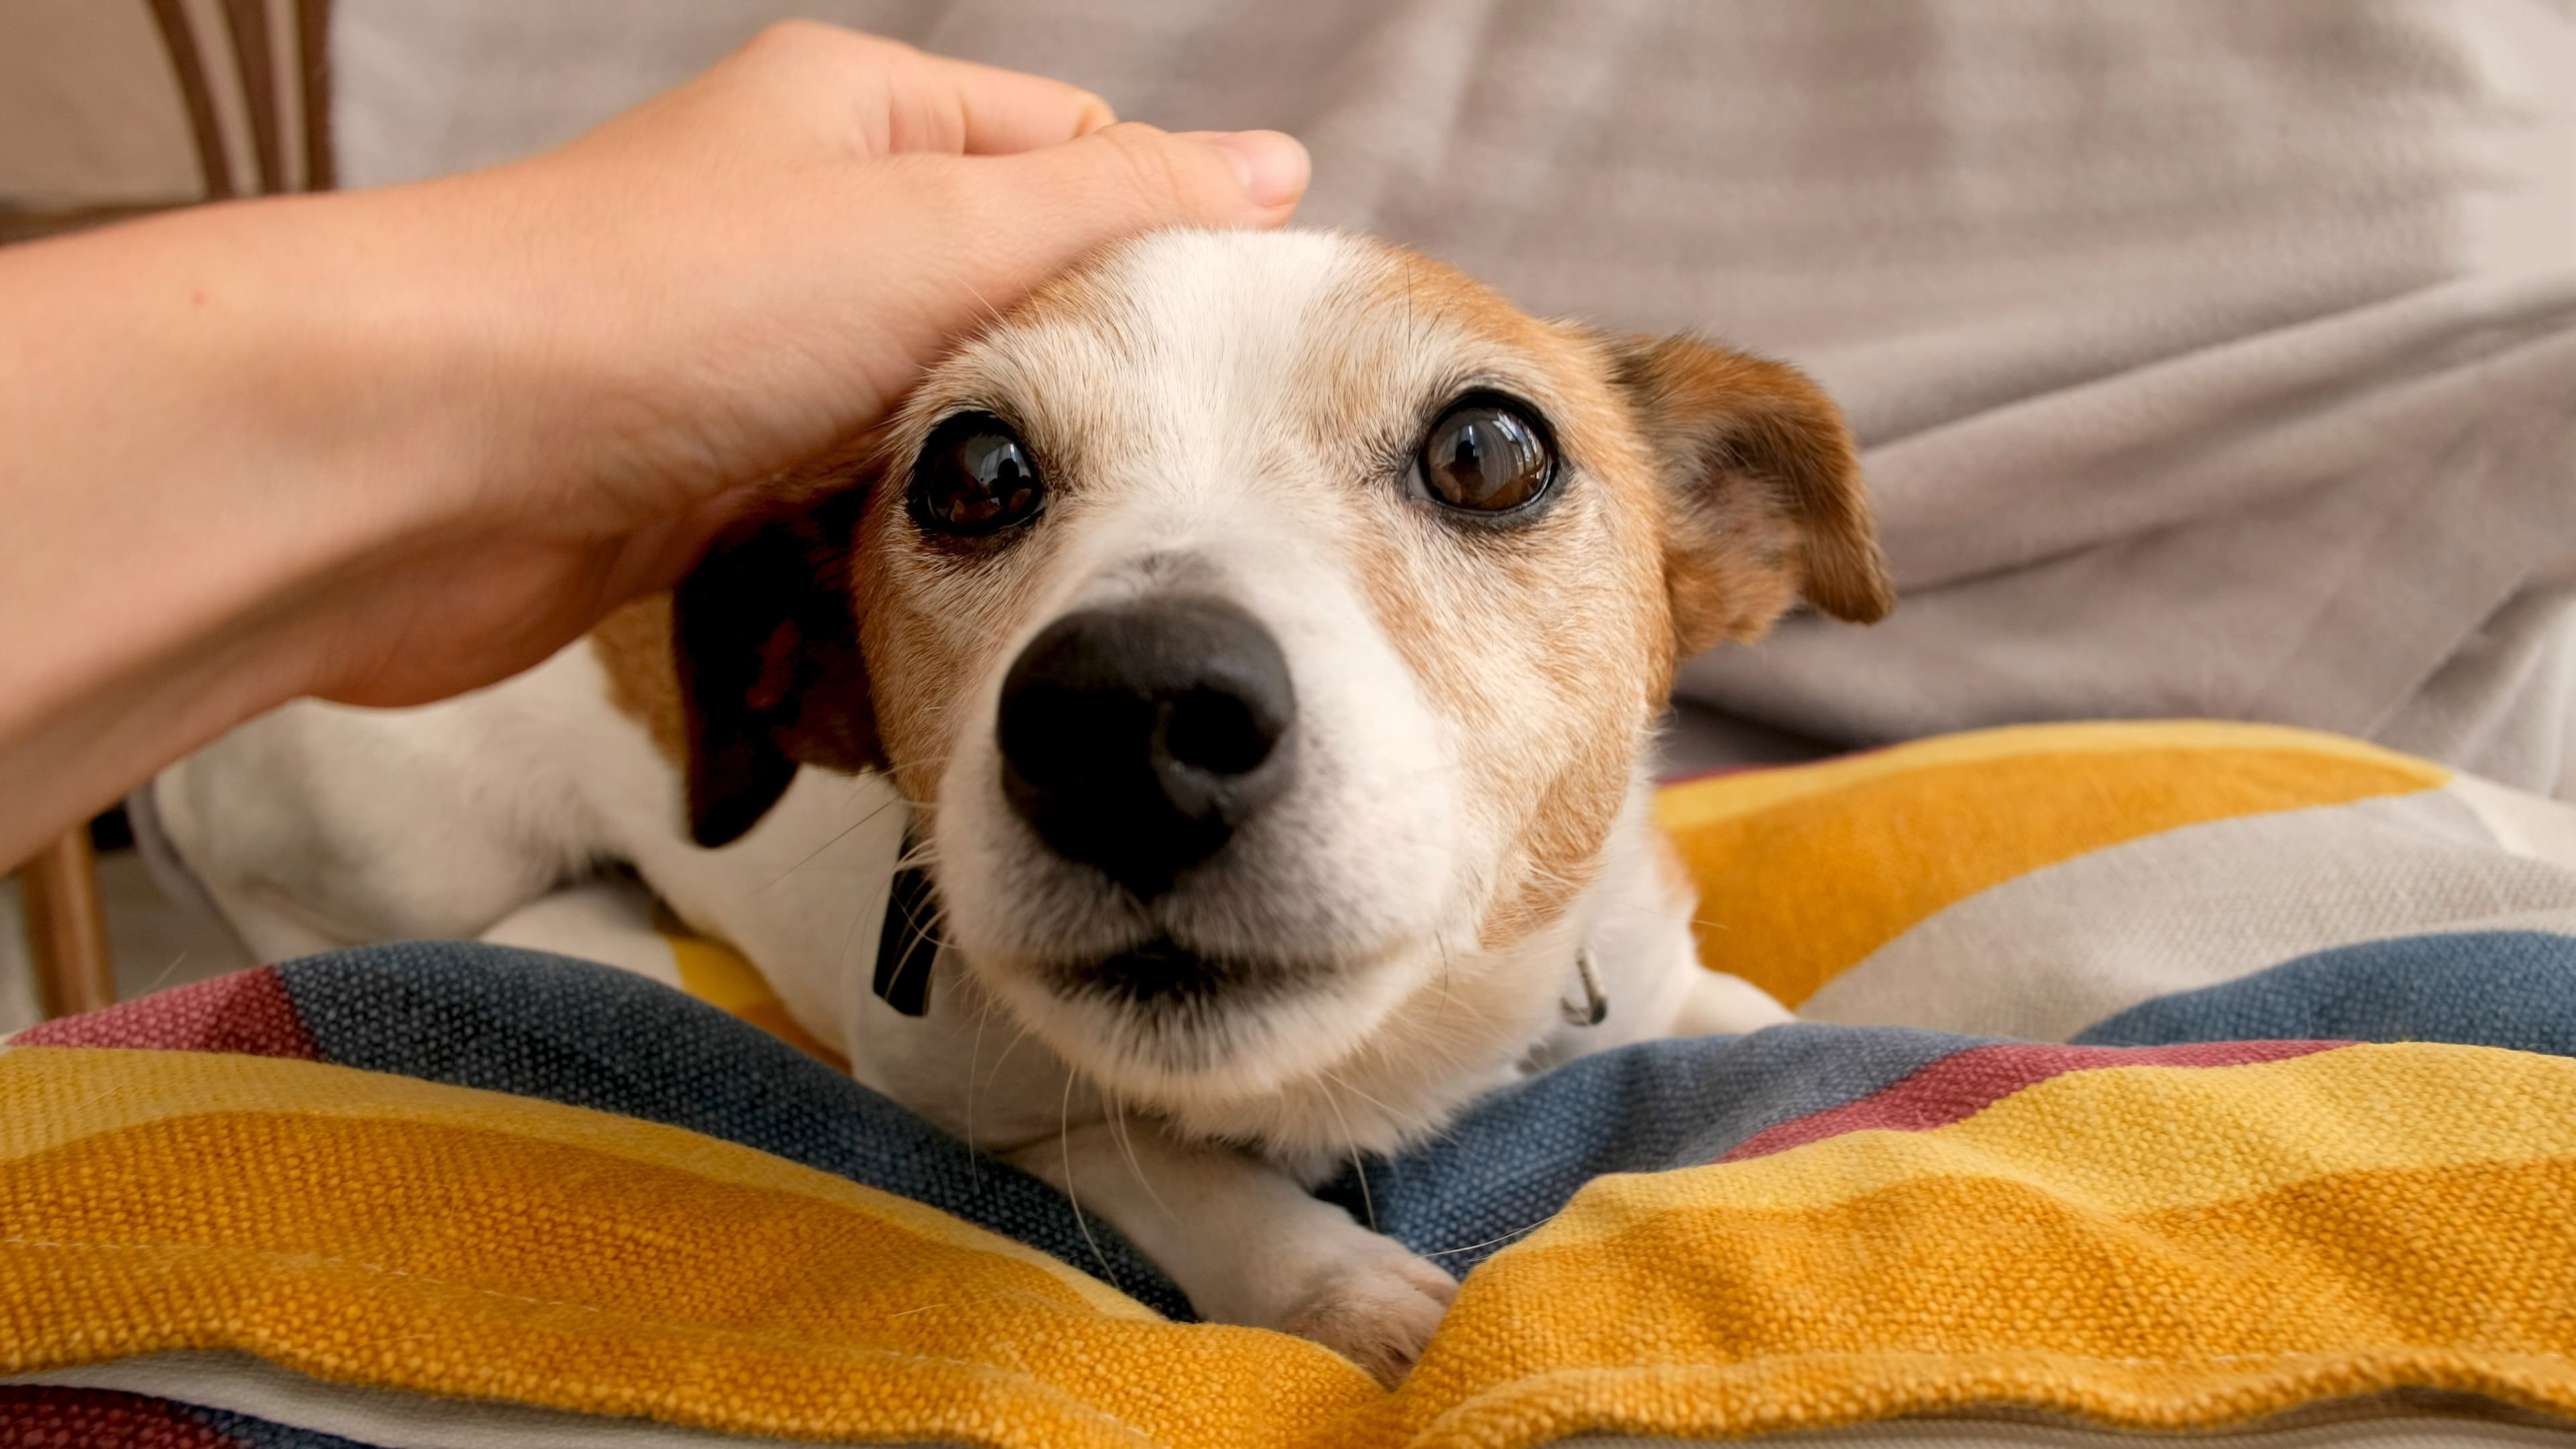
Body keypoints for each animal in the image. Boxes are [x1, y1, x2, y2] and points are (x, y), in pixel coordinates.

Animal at [146, 225, 1896, 1371]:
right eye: (971, 472)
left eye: (1486, 450)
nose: (1131, 716)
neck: (1361, 1074)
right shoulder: (961, 1086)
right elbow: (1168, 1166)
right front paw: (1346, 1290)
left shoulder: (1637, 971)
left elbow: (1741, 1016)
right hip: (400, 848)